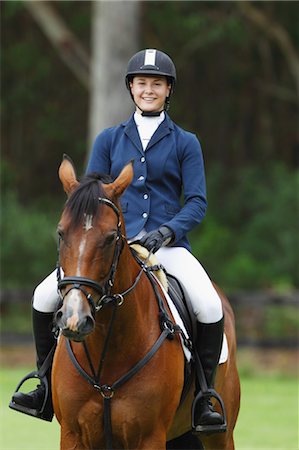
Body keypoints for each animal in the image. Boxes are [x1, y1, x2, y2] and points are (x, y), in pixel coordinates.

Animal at [52, 156, 241, 450]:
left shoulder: (150, 436)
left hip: (220, 435)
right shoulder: (72, 434)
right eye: (61, 233)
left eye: (110, 238)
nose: (74, 318)